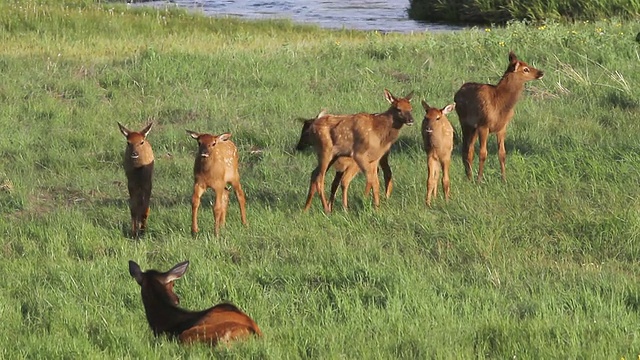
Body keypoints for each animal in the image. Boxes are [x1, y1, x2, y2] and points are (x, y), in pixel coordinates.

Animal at [456, 50, 544, 183]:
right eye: (526, 69)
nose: (541, 72)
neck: (500, 103)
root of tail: (457, 93)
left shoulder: (502, 127)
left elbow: (502, 153)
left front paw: (504, 179)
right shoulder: (484, 125)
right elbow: (483, 153)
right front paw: (479, 180)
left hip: (473, 128)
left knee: (468, 150)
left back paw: (469, 176)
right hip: (466, 123)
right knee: (467, 150)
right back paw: (470, 178)